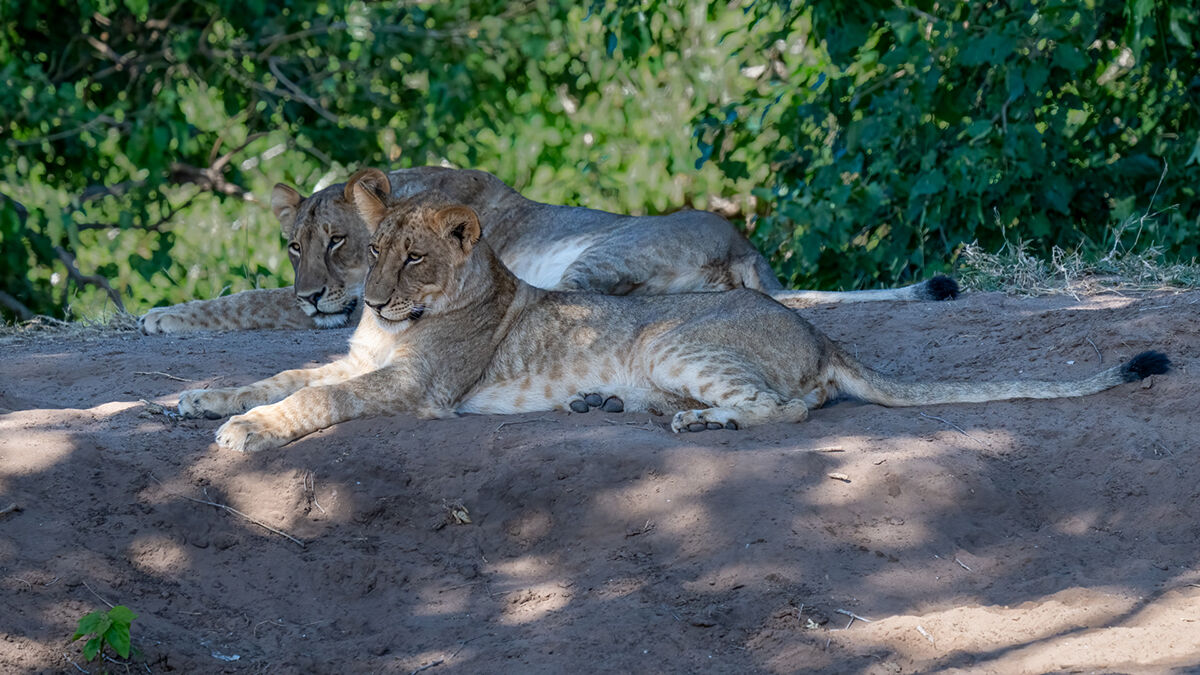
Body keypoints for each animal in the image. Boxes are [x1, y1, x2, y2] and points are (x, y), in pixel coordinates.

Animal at [175, 169, 1170, 452]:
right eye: (369, 248)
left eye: (412, 256)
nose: (363, 296)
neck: (392, 325)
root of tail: (820, 329)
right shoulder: (354, 355)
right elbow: (282, 372)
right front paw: (194, 399)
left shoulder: (417, 388)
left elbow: (315, 398)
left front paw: (246, 432)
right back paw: (609, 404)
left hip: (670, 340)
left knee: (790, 405)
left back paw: (700, 420)